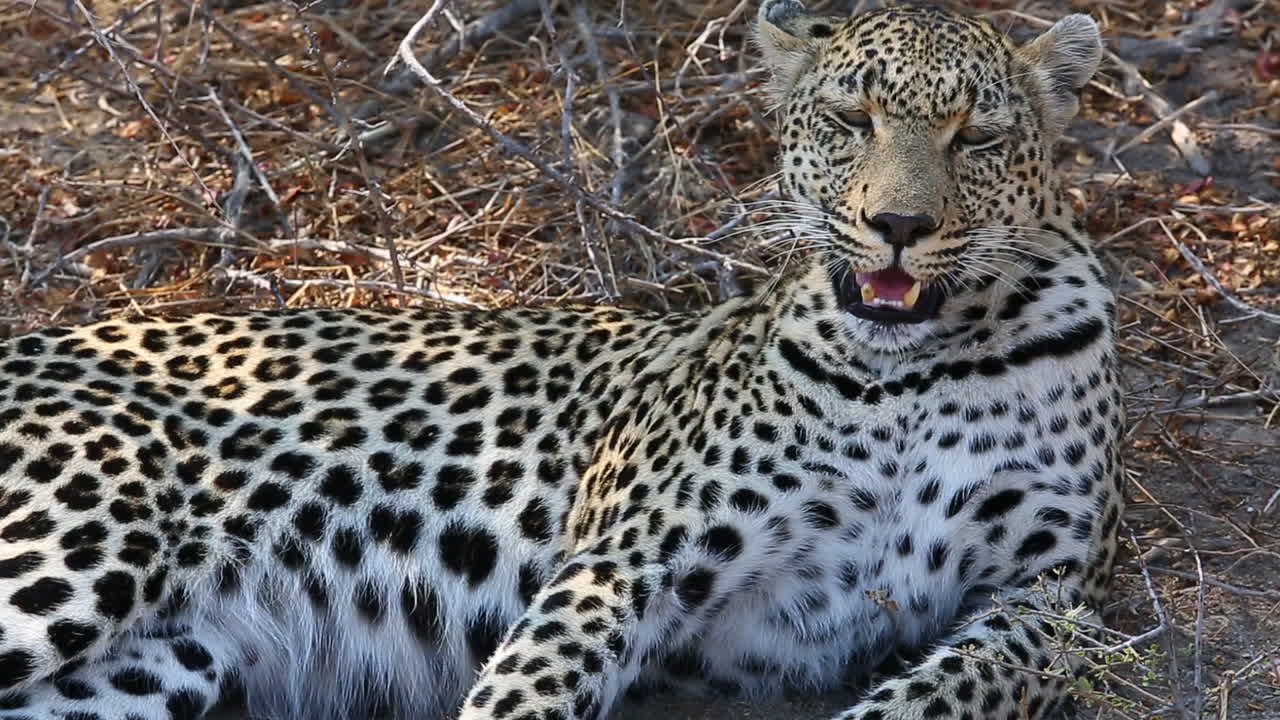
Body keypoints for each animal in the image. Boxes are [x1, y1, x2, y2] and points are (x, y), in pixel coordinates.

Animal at [0, 3, 1125, 720]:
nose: (897, 225)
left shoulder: (1046, 596)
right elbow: (528, 689)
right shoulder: (626, 561)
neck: (908, 370)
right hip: (84, 542)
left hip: (156, 658)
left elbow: (953, 686)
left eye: (975, 137)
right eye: (853, 120)